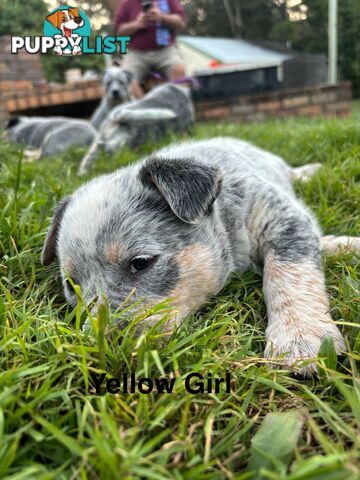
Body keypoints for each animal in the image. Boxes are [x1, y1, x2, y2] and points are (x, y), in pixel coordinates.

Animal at [41, 137, 358, 374]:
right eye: (72, 285)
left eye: (140, 262)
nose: (101, 348)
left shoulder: (279, 215)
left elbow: (289, 271)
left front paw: (301, 335)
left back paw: (311, 171)